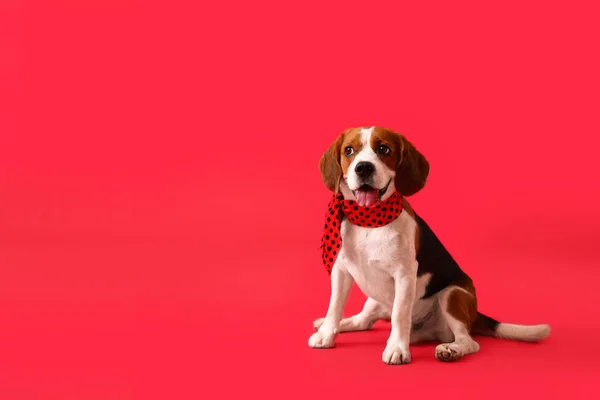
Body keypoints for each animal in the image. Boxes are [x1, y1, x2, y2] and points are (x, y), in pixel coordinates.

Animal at [310, 126, 548, 364]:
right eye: (349, 150)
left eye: (384, 149)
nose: (364, 167)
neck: (367, 220)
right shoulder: (340, 270)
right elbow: (335, 306)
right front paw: (326, 334)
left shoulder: (404, 274)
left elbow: (399, 314)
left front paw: (397, 348)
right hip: (374, 301)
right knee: (362, 322)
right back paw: (330, 325)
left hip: (453, 295)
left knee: (469, 341)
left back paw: (451, 349)